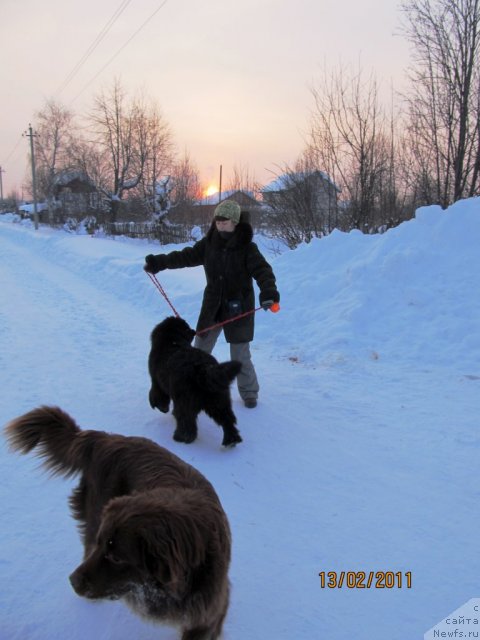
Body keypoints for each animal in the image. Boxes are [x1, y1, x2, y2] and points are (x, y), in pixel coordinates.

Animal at [147, 314, 242, 444]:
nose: (193, 330)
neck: (172, 341)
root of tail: (203, 368)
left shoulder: (156, 381)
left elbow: (156, 394)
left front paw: (160, 407)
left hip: (184, 401)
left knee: (186, 421)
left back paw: (181, 438)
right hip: (219, 398)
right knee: (227, 419)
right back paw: (231, 440)